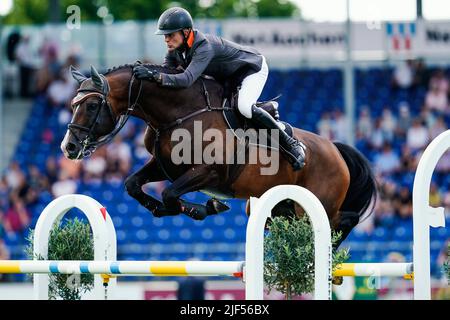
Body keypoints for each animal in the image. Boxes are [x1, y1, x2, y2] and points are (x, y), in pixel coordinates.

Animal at [61, 62, 378, 248]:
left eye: (91, 106)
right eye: (73, 104)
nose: (69, 148)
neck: (178, 113)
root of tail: (335, 149)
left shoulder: (208, 172)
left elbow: (170, 194)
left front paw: (204, 208)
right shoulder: (164, 167)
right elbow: (134, 185)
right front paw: (177, 209)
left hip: (316, 205)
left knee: (344, 219)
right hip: (281, 208)